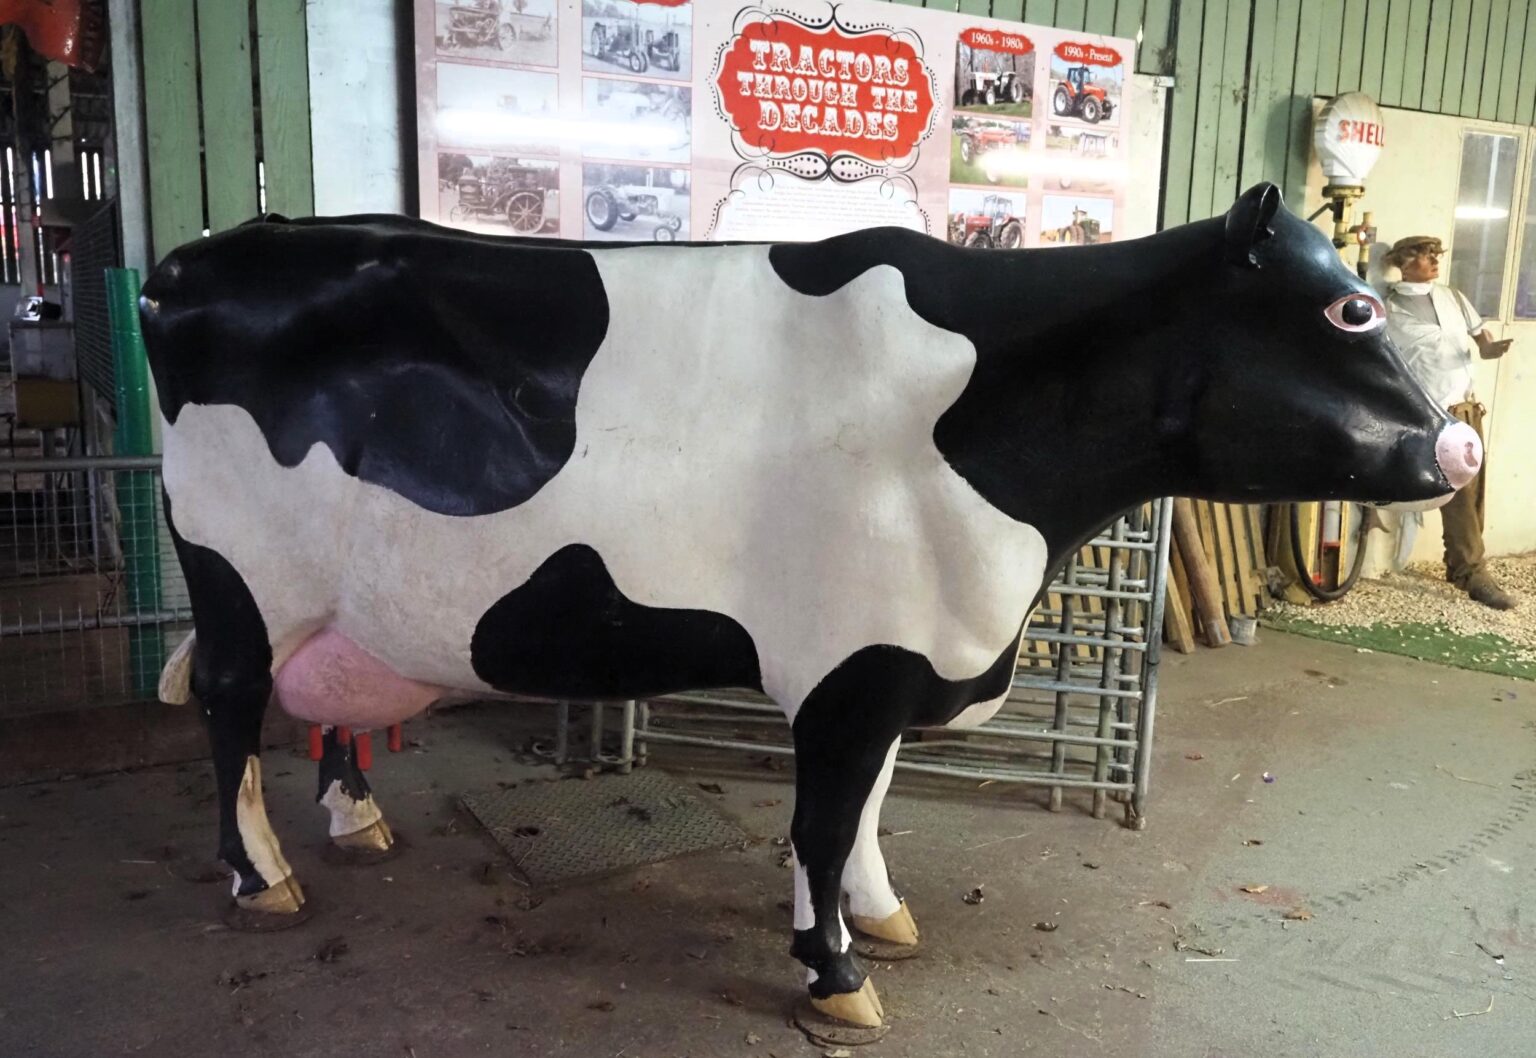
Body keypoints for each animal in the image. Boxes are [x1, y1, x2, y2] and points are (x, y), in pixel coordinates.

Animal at [144, 183, 1474, 1031]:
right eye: (1351, 308)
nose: (1459, 445)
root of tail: (200, 255)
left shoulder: (893, 659)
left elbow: (866, 810)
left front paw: (878, 918)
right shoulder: (854, 663)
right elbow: (828, 819)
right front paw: (835, 973)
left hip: (342, 610)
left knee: (324, 702)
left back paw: (354, 816)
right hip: (238, 581)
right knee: (226, 708)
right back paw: (262, 878)